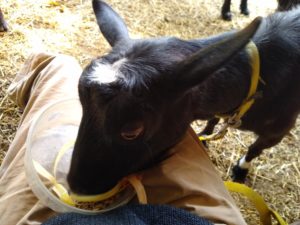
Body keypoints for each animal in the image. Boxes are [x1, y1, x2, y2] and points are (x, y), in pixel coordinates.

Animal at [67, 0, 300, 194]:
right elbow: (213, 120)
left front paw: (241, 169)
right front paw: (205, 135)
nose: (75, 187)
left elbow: (255, 148)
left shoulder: (278, 130)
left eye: (131, 131)